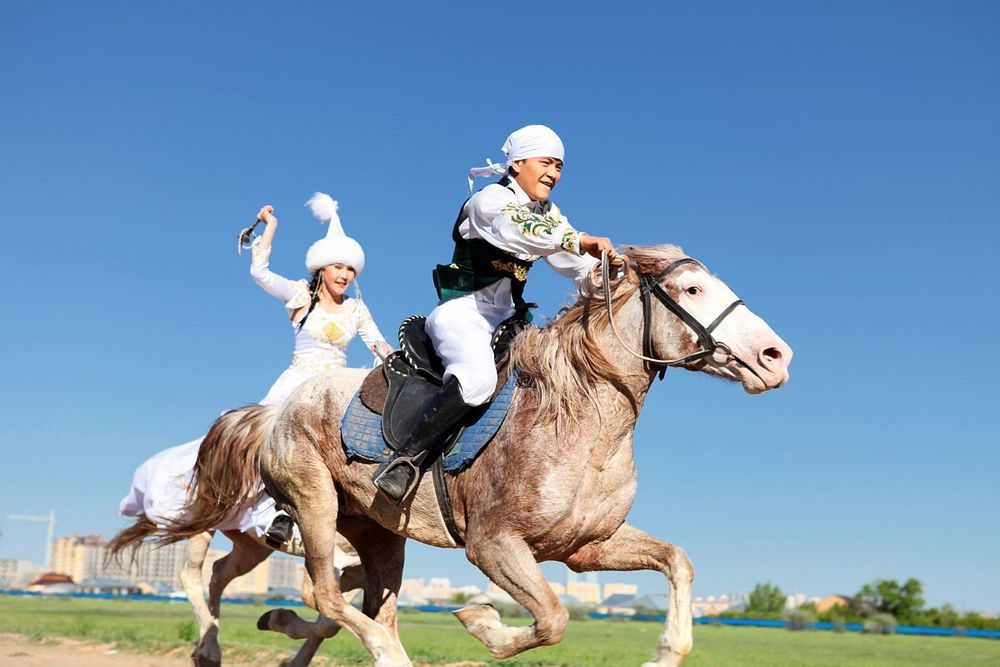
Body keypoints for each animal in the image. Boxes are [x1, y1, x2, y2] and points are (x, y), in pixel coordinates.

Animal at [164, 247, 792, 667]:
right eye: (692, 291)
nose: (776, 355)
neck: (585, 423)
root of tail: (276, 412)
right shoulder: (493, 545)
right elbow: (553, 617)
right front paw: (481, 621)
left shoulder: (587, 547)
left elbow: (677, 561)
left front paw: (665, 652)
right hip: (314, 504)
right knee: (326, 595)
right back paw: (371, 649)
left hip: (379, 533)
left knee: (362, 603)